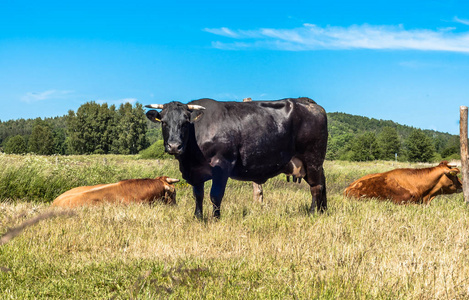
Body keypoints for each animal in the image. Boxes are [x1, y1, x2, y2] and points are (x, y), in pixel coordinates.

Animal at [144, 98, 328, 218]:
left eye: (185, 123)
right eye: (164, 122)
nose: (174, 146)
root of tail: (309, 103)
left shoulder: (222, 164)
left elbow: (215, 195)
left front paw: (216, 218)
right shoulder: (196, 171)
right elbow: (198, 195)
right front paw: (198, 217)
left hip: (312, 159)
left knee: (316, 187)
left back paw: (313, 213)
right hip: (313, 164)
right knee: (322, 183)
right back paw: (323, 211)